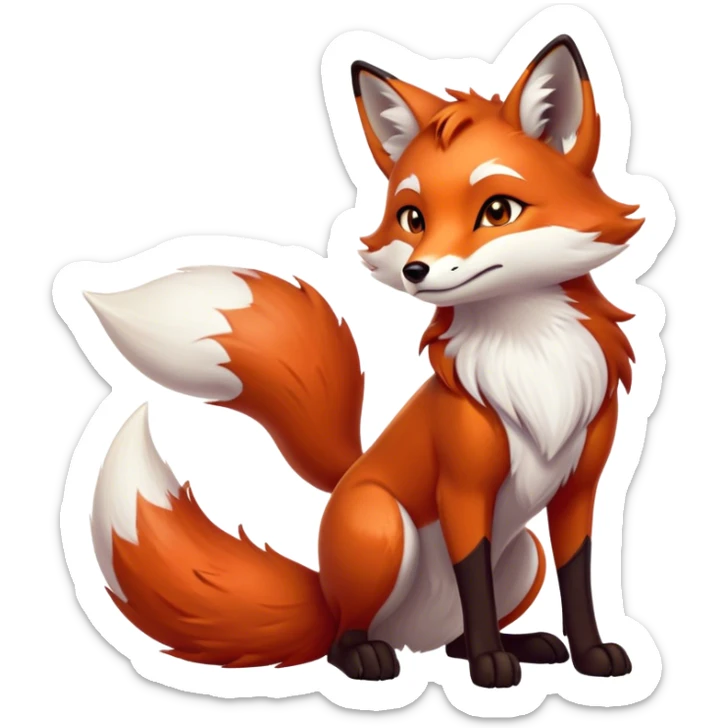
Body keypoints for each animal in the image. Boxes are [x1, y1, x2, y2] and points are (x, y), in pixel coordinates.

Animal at [83, 35, 646, 689]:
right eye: (412, 218)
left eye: (498, 211)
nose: (417, 271)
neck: (531, 355)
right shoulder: (462, 490)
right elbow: (474, 581)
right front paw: (490, 666)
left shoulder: (580, 488)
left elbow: (578, 582)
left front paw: (591, 655)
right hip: (382, 528)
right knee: (344, 637)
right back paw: (370, 656)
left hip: (522, 554)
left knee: (451, 640)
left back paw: (518, 643)